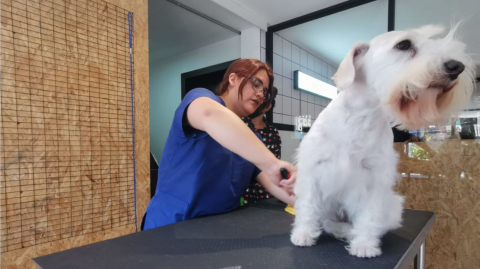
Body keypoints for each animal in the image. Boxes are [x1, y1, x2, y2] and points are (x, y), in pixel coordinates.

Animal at [290, 25, 474, 258]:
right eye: (403, 45)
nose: (456, 66)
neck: (362, 115)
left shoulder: (374, 177)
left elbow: (369, 216)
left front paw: (364, 245)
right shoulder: (313, 170)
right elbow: (307, 206)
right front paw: (303, 234)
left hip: (393, 206)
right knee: (327, 220)